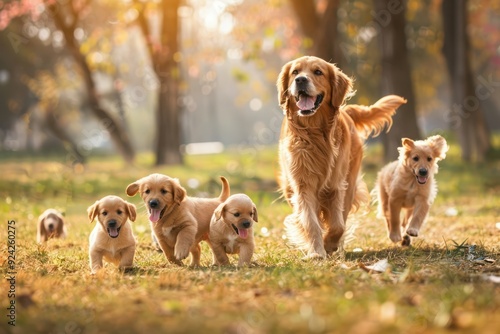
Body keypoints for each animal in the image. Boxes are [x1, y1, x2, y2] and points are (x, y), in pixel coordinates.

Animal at [276, 55, 408, 258]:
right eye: (295, 72)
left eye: (318, 72)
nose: (300, 80)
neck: (315, 133)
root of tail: (348, 110)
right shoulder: (303, 185)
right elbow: (310, 221)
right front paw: (316, 252)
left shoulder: (337, 186)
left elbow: (338, 224)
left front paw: (329, 244)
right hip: (289, 187)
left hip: (350, 182)